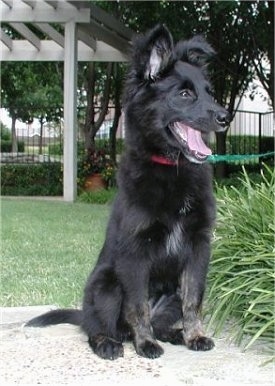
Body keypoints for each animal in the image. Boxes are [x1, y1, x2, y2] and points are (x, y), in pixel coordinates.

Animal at [27, 25, 231, 360]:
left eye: (209, 92)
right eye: (185, 94)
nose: (226, 117)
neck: (171, 167)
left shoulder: (198, 247)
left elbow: (194, 300)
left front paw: (195, 335)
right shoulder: (136, 252)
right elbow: (137, 306)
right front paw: (145, 343)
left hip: (169, 296)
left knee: (161, 320)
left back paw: (173, 334)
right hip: (106, 286)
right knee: (97, 328)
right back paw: (110, 343)